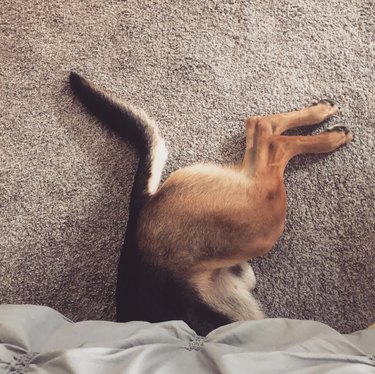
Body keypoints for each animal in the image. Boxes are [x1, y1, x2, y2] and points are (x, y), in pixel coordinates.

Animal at [70, 73, 352, 336]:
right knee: (263, 131)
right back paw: (326, 127)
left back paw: (327, 126)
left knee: (266, 136)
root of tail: (139, 210)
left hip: (258, 223)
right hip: (256, 225)